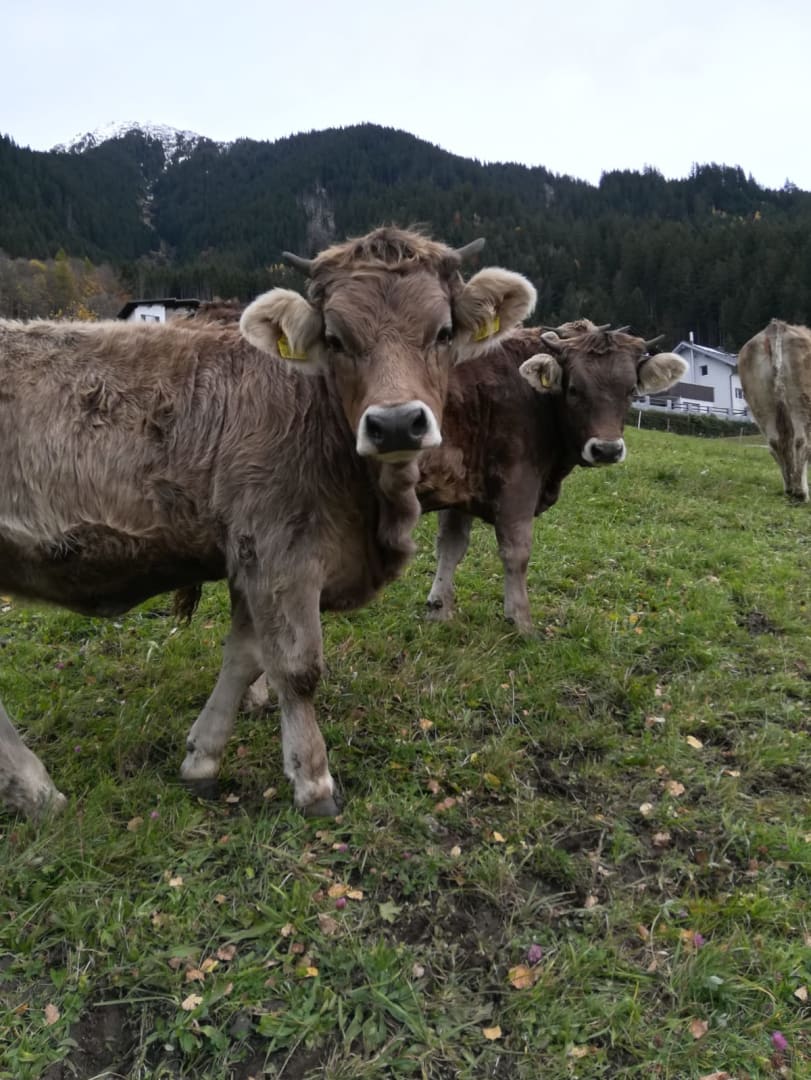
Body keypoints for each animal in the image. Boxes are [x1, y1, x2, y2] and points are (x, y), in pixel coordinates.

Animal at [0, 227, 537, 819]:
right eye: (335, 337)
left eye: (442, 332)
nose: (397, 423)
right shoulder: (280, 552)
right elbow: (296, 669)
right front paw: (314, 781)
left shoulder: (250, 558)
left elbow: (245, 657)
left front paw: (202, 759)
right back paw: (38, 791)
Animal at [419, 324, 687, 631]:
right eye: (574, 389)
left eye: (631, 390)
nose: (607, 449)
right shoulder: (518, 484)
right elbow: (516, 552)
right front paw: (522, 622)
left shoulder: (460, 485)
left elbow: (451, 546)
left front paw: (439, 610)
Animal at [737, 319, 811, 501]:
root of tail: (777, 326)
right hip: (801, 400)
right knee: (801, 442)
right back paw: (801, 493)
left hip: (761, 403)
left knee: (776, 443)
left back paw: (790, 489)